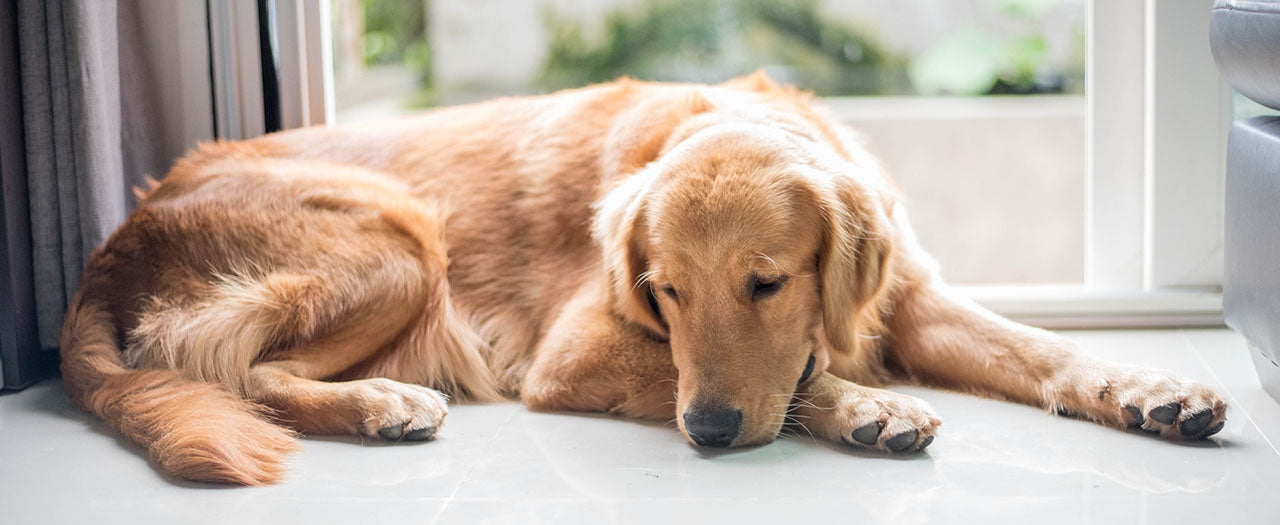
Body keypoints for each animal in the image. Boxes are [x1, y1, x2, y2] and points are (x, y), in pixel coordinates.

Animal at [60, 72, 1228, 484]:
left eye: (765, 283)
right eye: (663, 292)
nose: (705, 435)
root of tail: (111, 243)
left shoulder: (909, 296)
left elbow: (1041, 348)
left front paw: (1149, 387)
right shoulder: (572, 351)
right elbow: (786, 381)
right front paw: (864, 406)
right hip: (398, 241)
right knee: (240, 371)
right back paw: (382, 401)